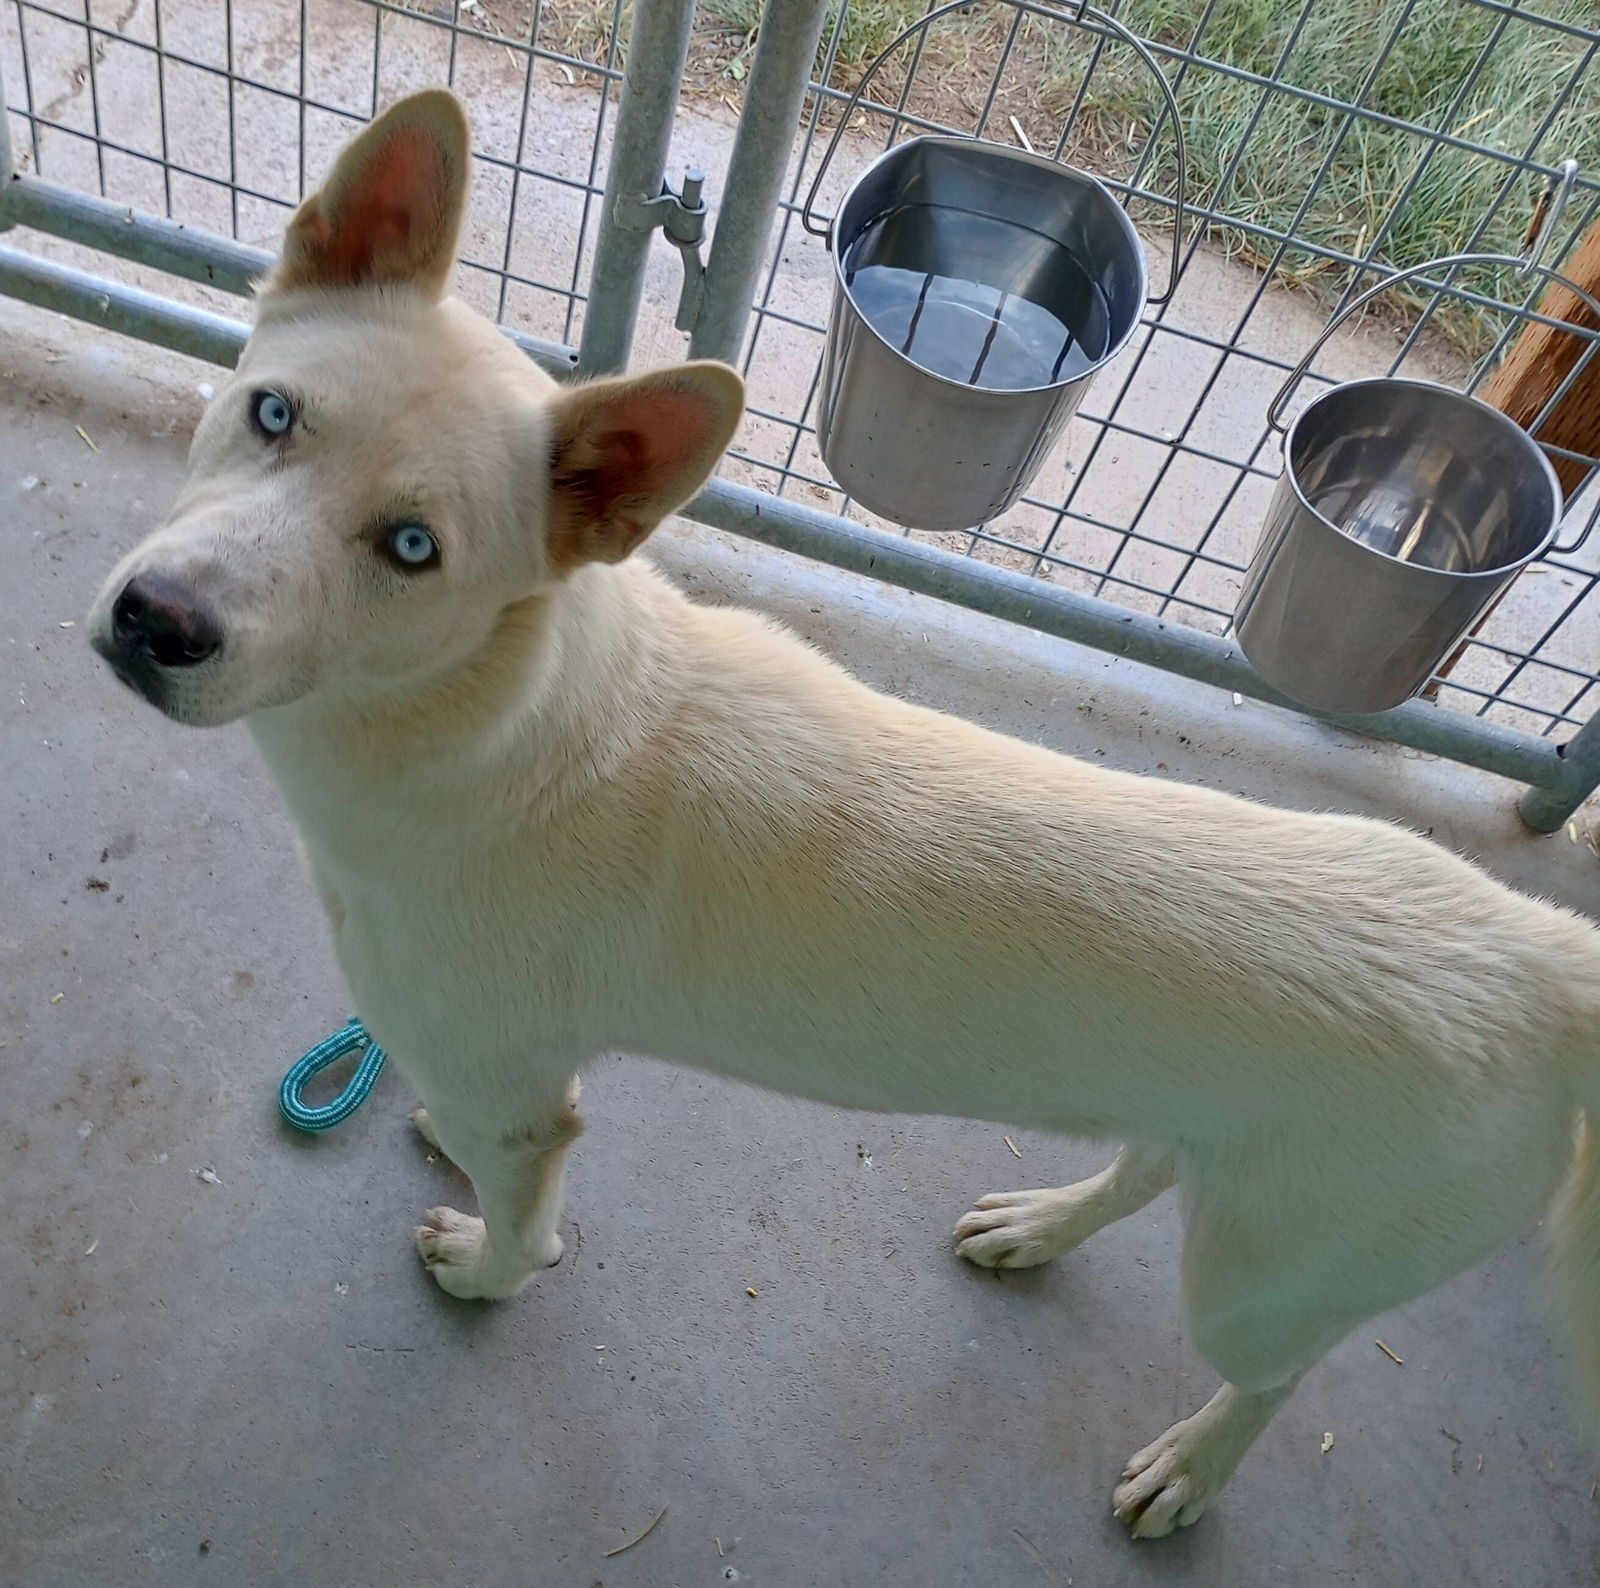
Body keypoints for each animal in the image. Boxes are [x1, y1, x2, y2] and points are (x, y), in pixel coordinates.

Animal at [90, 92, 1600, 1530]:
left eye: (413, 549)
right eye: (273, 413)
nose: (155, 623)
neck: (490, 723)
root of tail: (1544, 960)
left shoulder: (520, 1107)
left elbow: (527, 1230)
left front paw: (485, 1269)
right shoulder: (502, 1069)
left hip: (1262, 1280)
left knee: (1277, 1375)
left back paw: (1192, 1467)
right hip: (1235, 1170)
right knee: (1153, 1164)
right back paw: (1042, 1224)